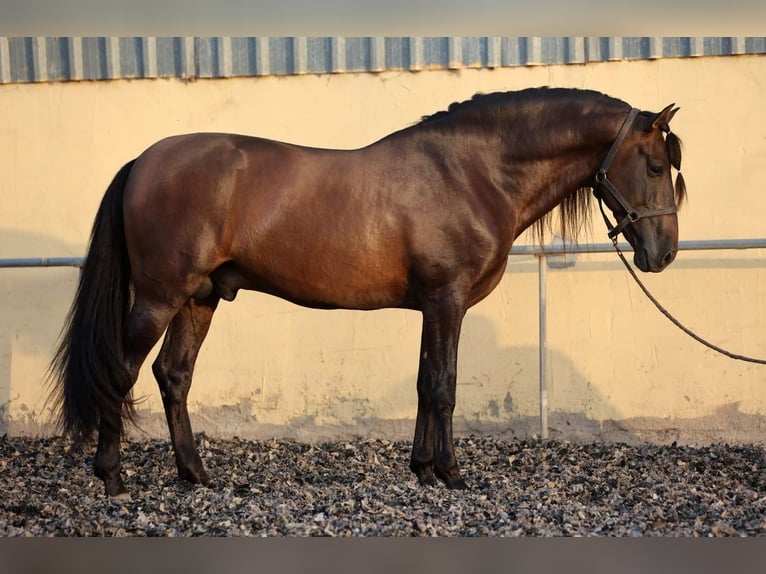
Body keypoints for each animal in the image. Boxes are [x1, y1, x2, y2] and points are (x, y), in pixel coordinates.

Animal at [48, 88, 688, 498]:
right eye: (656, 167)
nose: (664, 255)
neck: (474, 172)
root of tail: (144, 160)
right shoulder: (448, 300)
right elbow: (444, 385)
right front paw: (451, 474)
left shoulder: (434, 306)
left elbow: (426, 383)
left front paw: (422, 469)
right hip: (159, 296)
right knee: (122, 370)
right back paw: (112, 477)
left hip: (199, 297)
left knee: (173, 375)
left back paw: (195, 475)